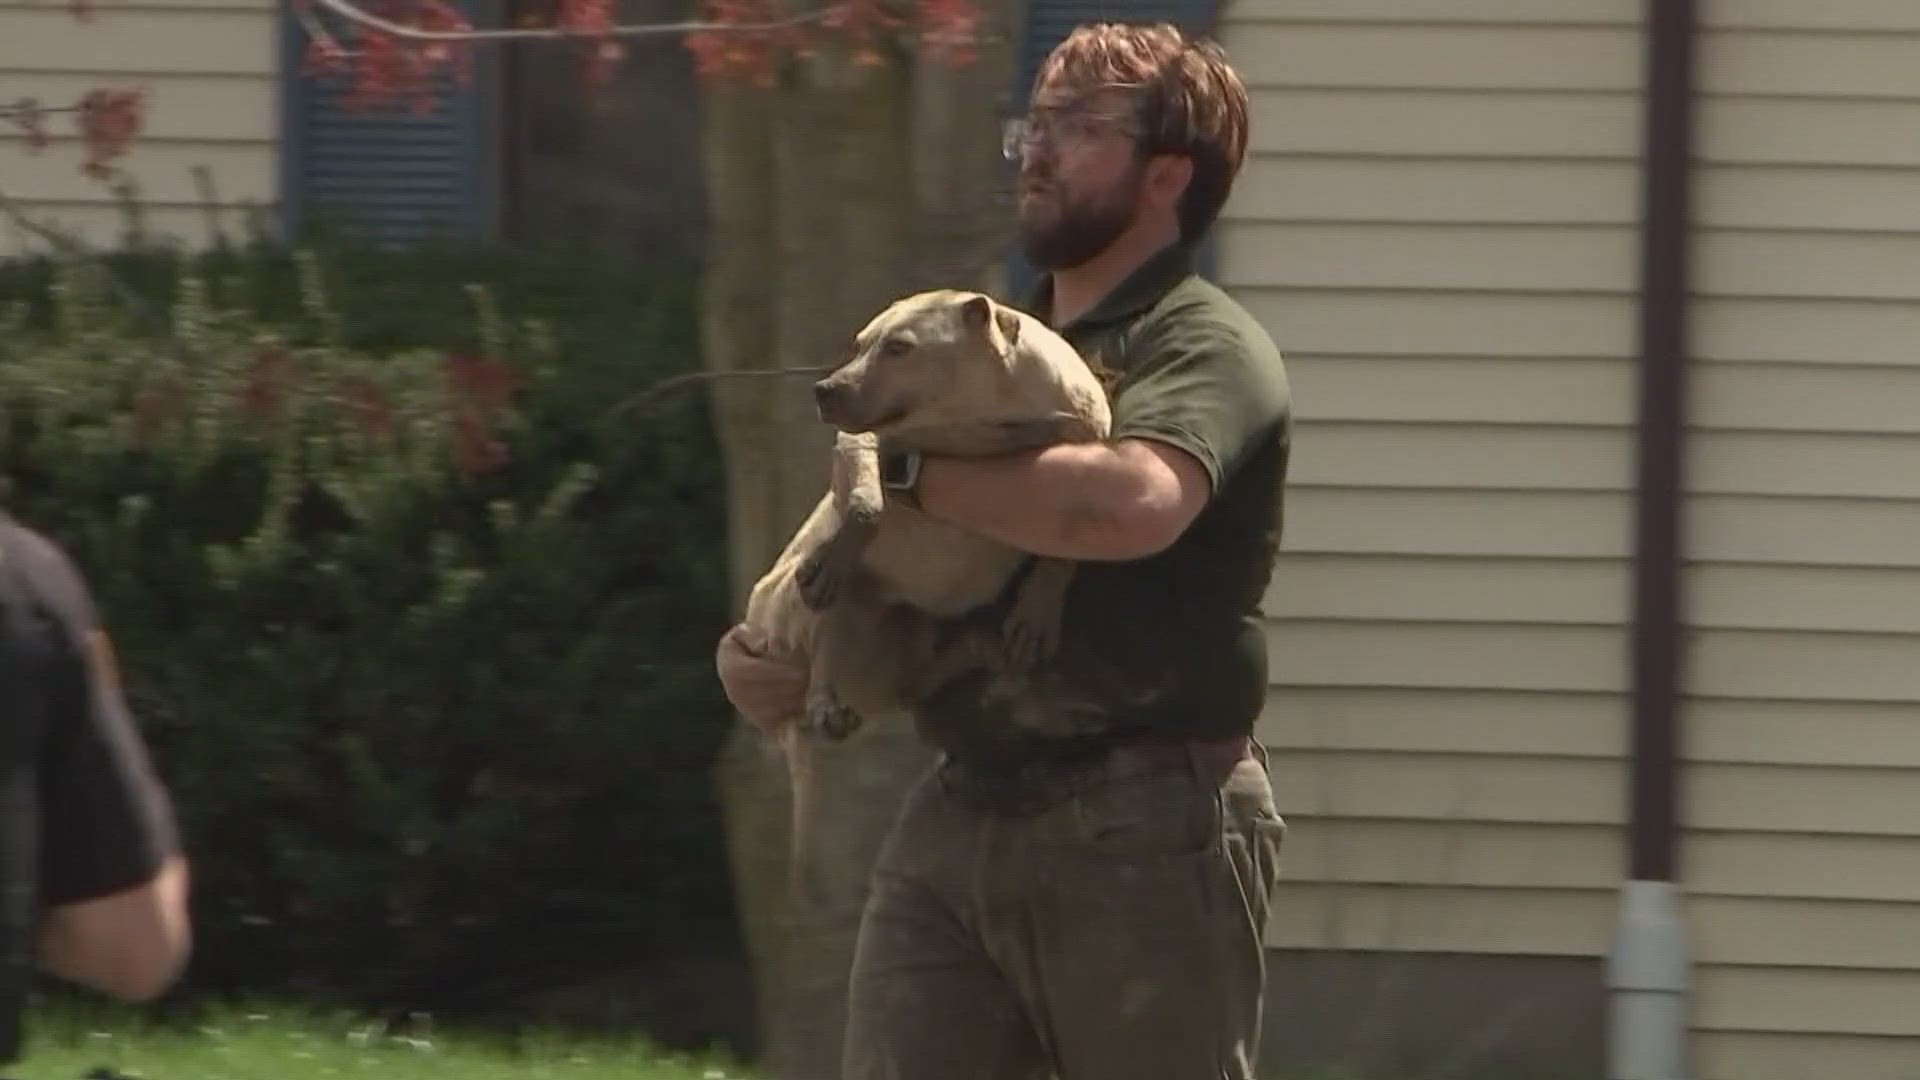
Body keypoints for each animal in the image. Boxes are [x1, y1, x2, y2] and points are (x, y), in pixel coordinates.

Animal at [741, 286, 1121, 737]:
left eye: (899, 347)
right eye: (858, 345)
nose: (824, 388)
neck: (981, 417)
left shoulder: (1087, 457)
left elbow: (1065, 551)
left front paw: (1038, 609)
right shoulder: (861, 440)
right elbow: (865, 505)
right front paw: (832, 558)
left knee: (915, 683)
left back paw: (976, 649)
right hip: (796, 611)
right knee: (827, 645)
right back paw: (825, 699)